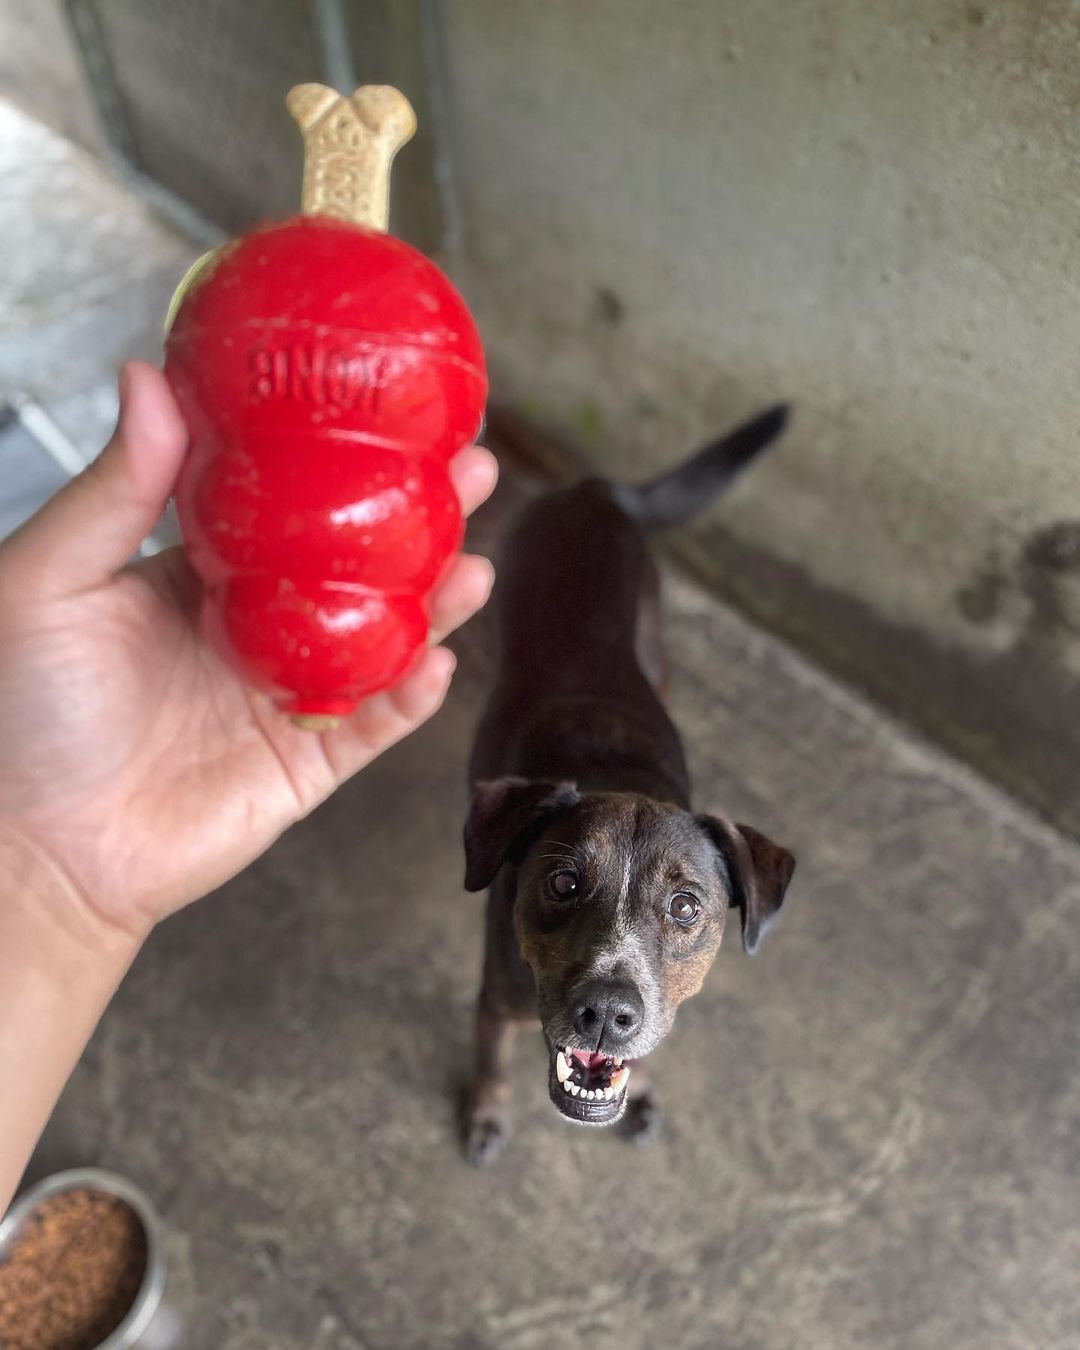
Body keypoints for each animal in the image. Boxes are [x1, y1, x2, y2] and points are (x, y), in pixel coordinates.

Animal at [461, 405, 793, 1166]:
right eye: (562, 883)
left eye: (686, 906)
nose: (608, 1014)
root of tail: (596, 490)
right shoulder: (496, 997)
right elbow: (490, 1059)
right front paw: (486, 1115)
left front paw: (638, 1090)